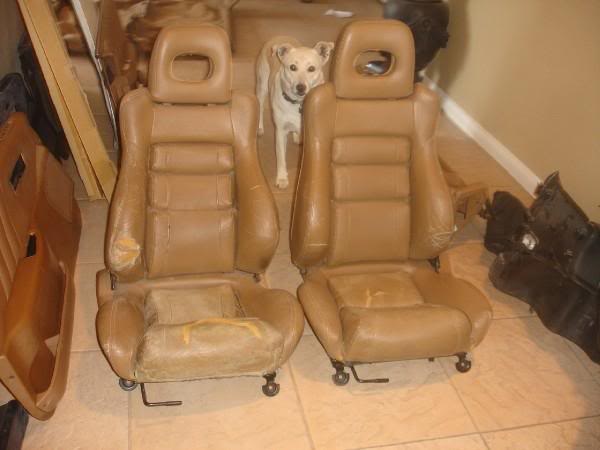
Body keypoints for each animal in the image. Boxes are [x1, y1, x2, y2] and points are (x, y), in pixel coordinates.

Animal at [256, 37, 334, 188]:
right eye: (292, 67)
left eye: (311, 68)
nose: (300, 87)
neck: (298, 103)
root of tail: (278, 37)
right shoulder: (280, 131)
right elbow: (281, 157)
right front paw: (282, 179)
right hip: (262, 85)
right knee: (261, 105)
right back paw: (260, 127)